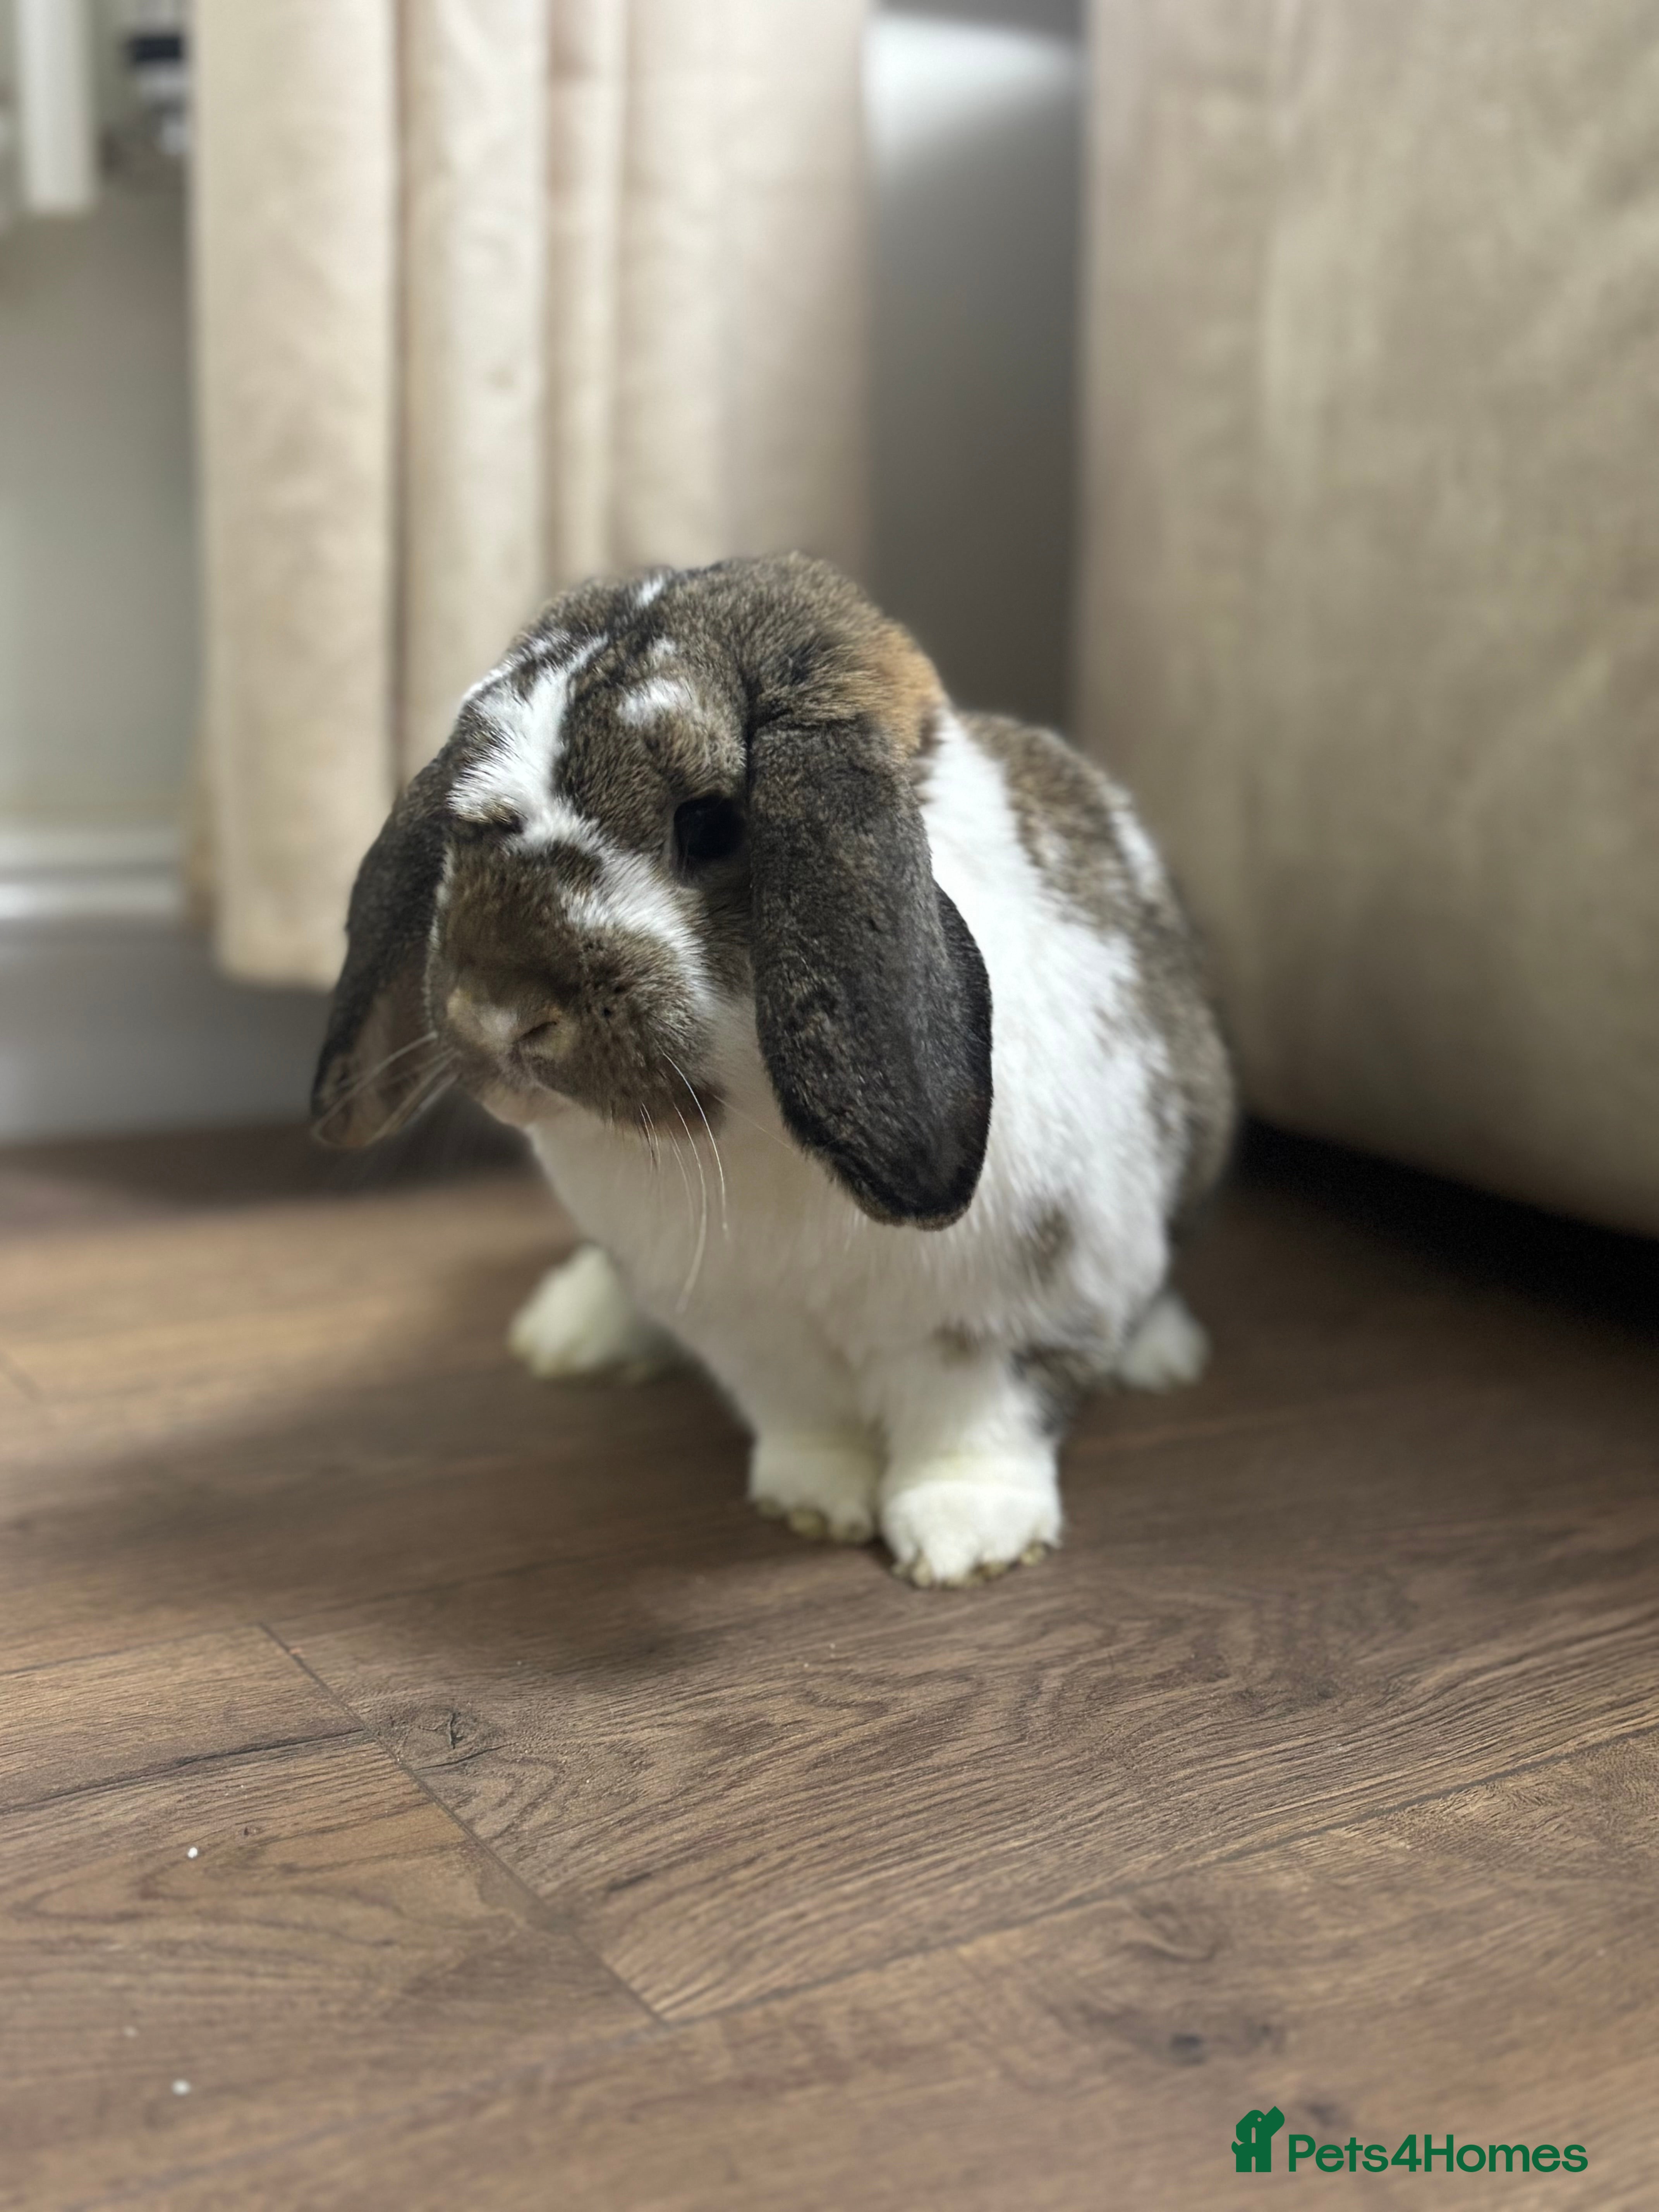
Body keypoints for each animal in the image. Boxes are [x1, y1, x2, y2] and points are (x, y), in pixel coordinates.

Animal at [312, 555, 1236, 1587]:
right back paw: (573, 1331)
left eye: (712, 826)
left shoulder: (1015, 1311)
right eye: (460, 817)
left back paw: (1161, 1355)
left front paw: (965, 1541)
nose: (496, 1011)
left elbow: (981, 1419)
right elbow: (804, 1417)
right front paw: (814, 1504)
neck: (753, 1124)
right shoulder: (748, 1329)